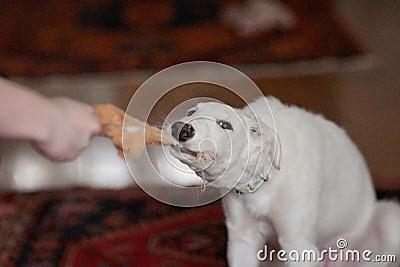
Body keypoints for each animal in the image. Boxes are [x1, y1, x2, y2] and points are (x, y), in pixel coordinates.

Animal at [167, 97, 400, 267]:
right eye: (191, 112)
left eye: (225, 125)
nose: (181, 129)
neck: (264, 182)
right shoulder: (242, 238)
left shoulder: (298, 243)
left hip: (390, 222)